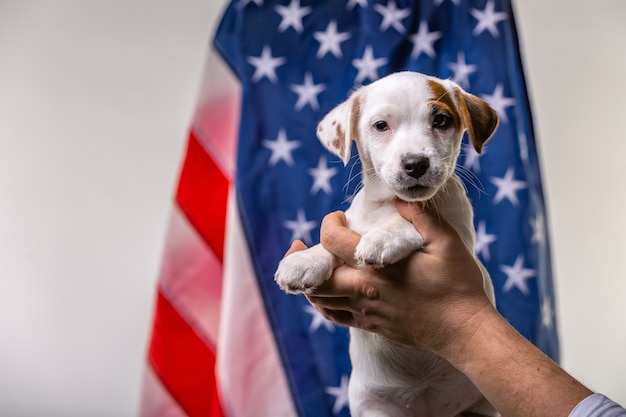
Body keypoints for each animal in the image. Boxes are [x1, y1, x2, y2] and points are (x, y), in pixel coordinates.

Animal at [272, 71, 498, 416]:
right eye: (381, 126)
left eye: (441, 120)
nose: (415, 163)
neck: (390, 204)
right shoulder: (351, 224)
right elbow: (331, 244)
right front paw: (305, 260)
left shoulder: (459, 234)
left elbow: (409, 221)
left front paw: (384, 237)